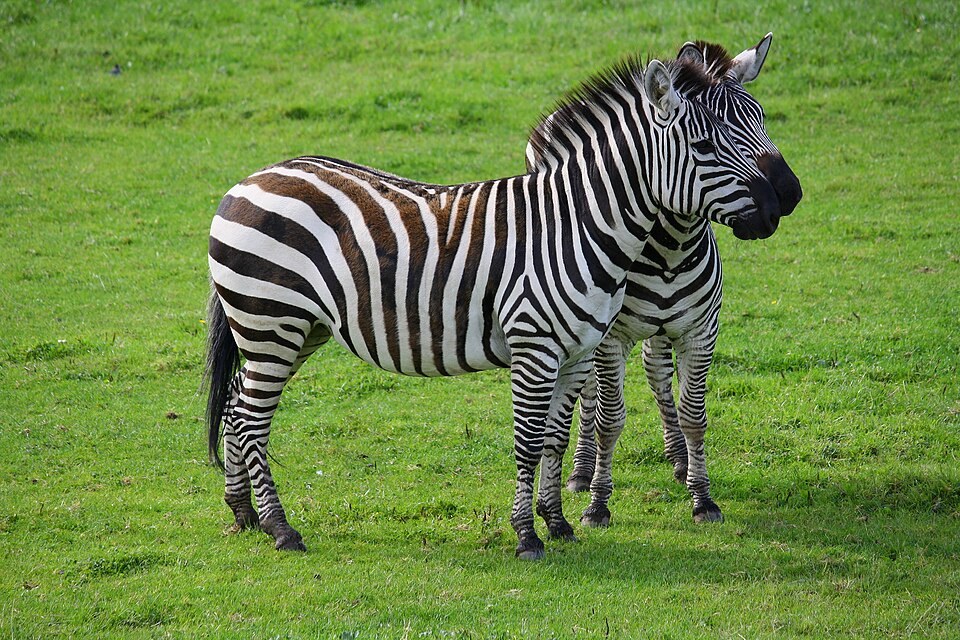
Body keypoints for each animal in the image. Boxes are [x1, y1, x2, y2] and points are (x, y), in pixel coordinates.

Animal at [205, 55, 783, 559]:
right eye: (704, 144)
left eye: (759, 122)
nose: (783, 201)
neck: (578, 225)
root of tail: (249, 179)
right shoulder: (534, 348)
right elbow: (527, 442)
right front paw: (527, 536)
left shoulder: (577, 353)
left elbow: (555, 439)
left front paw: (558, 522)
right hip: (271, 323)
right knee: (252, 418)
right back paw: (281, 528)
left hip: (295, 329)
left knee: (234, 407)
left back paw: (243, 514)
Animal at [526, 34, 802, 529]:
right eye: (710, 139)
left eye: (761, 117)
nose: (783, 198)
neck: (671, 247)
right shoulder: (610, 336)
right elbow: (609, 419)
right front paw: (597, 503)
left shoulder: (700, 330)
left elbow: (694, 414)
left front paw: (702, 496)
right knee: (591, 394)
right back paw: (580, 472)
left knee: (656, 371)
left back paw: (677, 458)